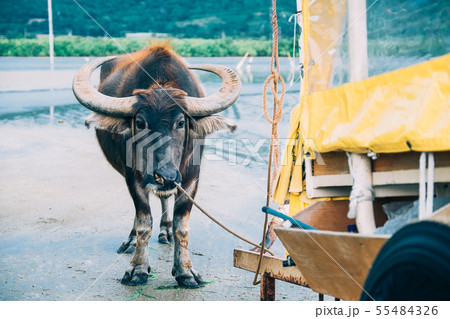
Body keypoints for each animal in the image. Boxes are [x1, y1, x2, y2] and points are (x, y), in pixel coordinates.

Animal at [72, 44, 241, 288]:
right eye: (140, 123)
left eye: (180, 123)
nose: (165, 176)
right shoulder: (134, 178)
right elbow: (144, 221)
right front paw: (137, 269)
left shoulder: (191, 178)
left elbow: (182, 226)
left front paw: (185, 272)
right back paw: (131, 241)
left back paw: (165, 231)